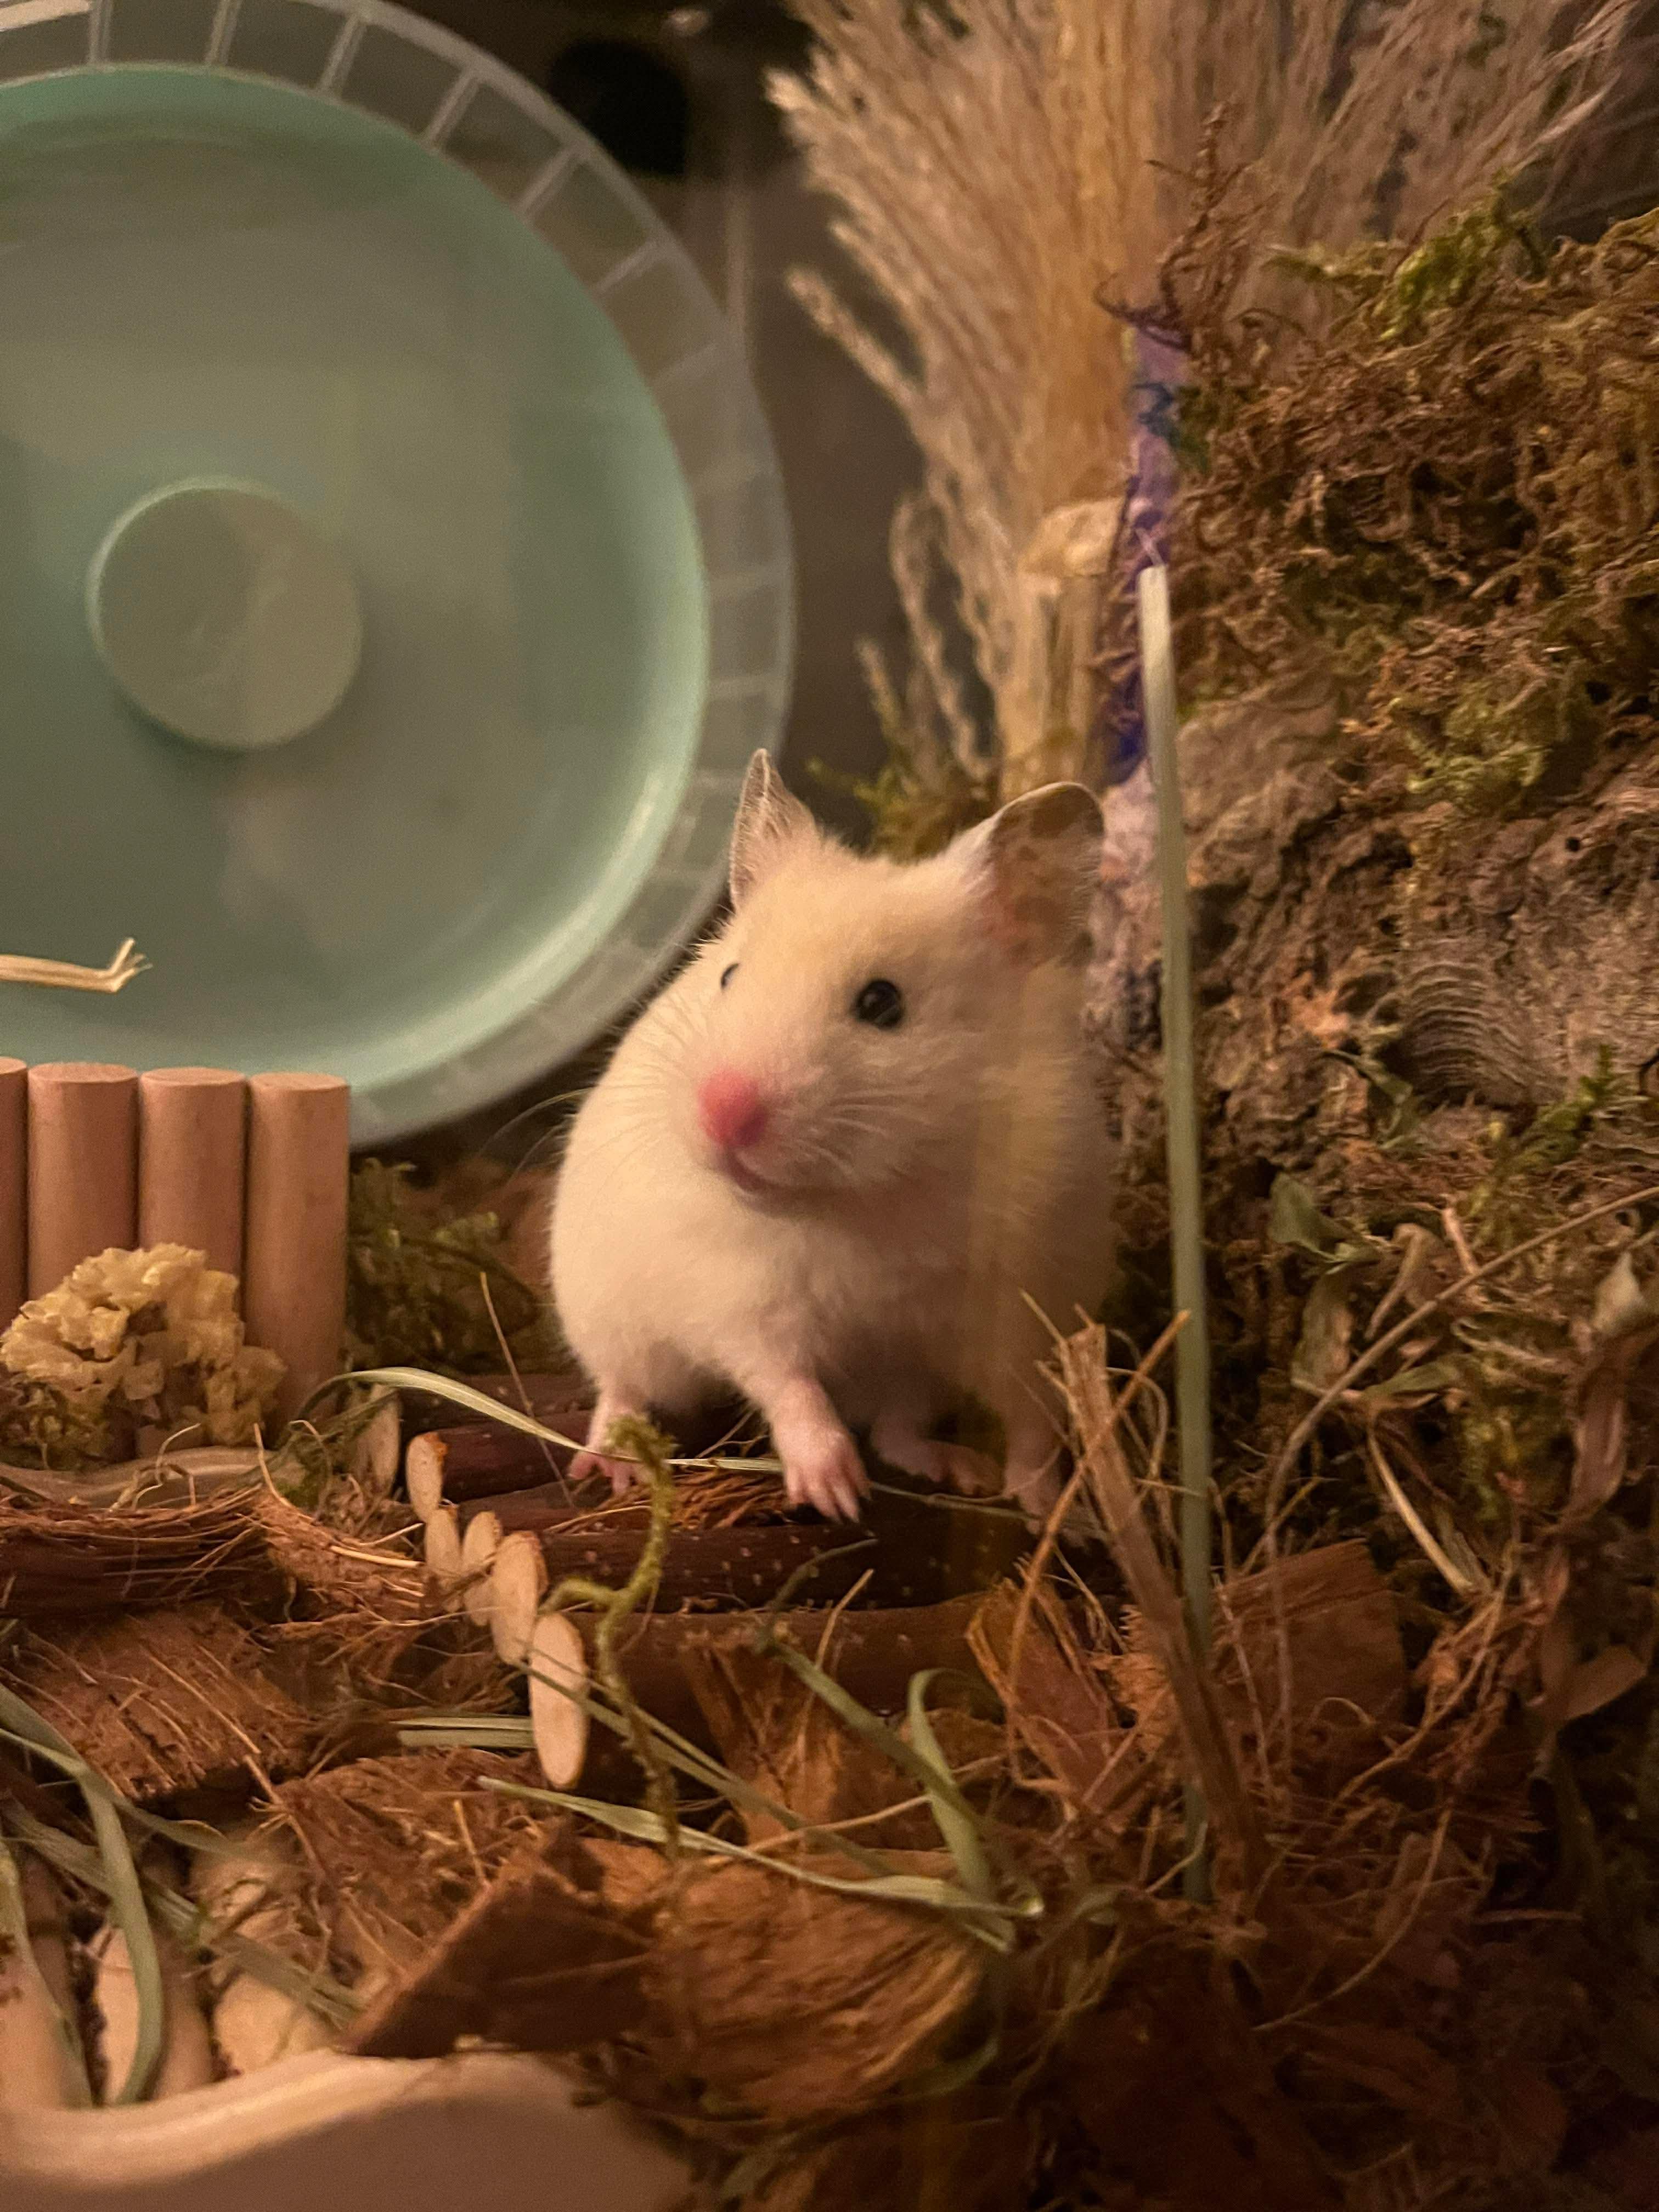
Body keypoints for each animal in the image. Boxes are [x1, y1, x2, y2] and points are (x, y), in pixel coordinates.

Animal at [550, 749, 1112, 1522]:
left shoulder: (1024, 1313)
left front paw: (1060, 1517)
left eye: (883, 1003)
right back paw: (610, 1466)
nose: (720, 1110)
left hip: (914, 1372)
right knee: (622, 1390)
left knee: (899, 1428)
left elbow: (1034, 1421)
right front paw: (835, 1494)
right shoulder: (743, 1304)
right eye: (729, 976)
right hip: (610, 1315)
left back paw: (960, 1467)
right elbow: (789, 1385)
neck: (874, 1200)